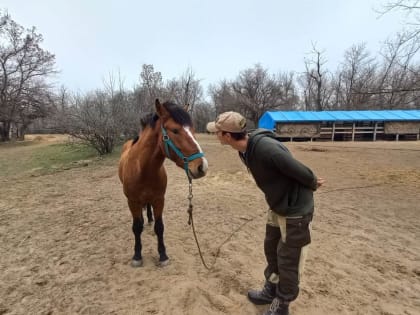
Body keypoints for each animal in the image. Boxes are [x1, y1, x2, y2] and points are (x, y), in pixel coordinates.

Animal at [119, 99, 208, 266]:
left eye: (193, 130)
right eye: (175, 130)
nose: (202, 166)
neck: (143, 169)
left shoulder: (159, 199)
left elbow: (159, 227)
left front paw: (163, 255)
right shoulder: (132, 201)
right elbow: (136, 227)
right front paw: (137, 255)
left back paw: (149, 218)